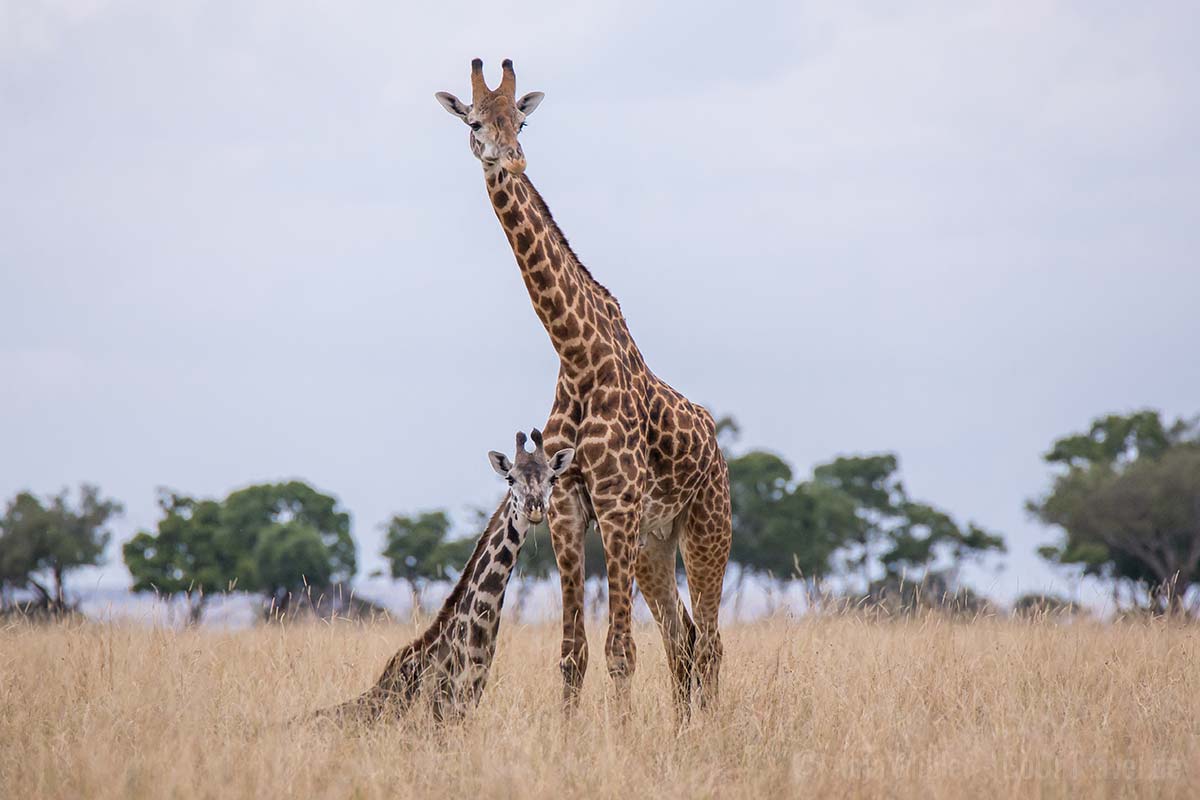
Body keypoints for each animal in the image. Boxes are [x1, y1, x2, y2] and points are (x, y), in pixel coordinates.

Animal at [435, 59, 733, 712]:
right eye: (474, 122)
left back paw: (708, 729)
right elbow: (574, 654)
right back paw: (684, 729)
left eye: (520, 120)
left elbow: (621, 652)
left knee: (710, 641)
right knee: (683, 638)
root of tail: (718, 447)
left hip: (707, 527)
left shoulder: (617, 503)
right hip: (654, 542)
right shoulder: (568, 506)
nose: (512, 158)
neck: (574, 352)